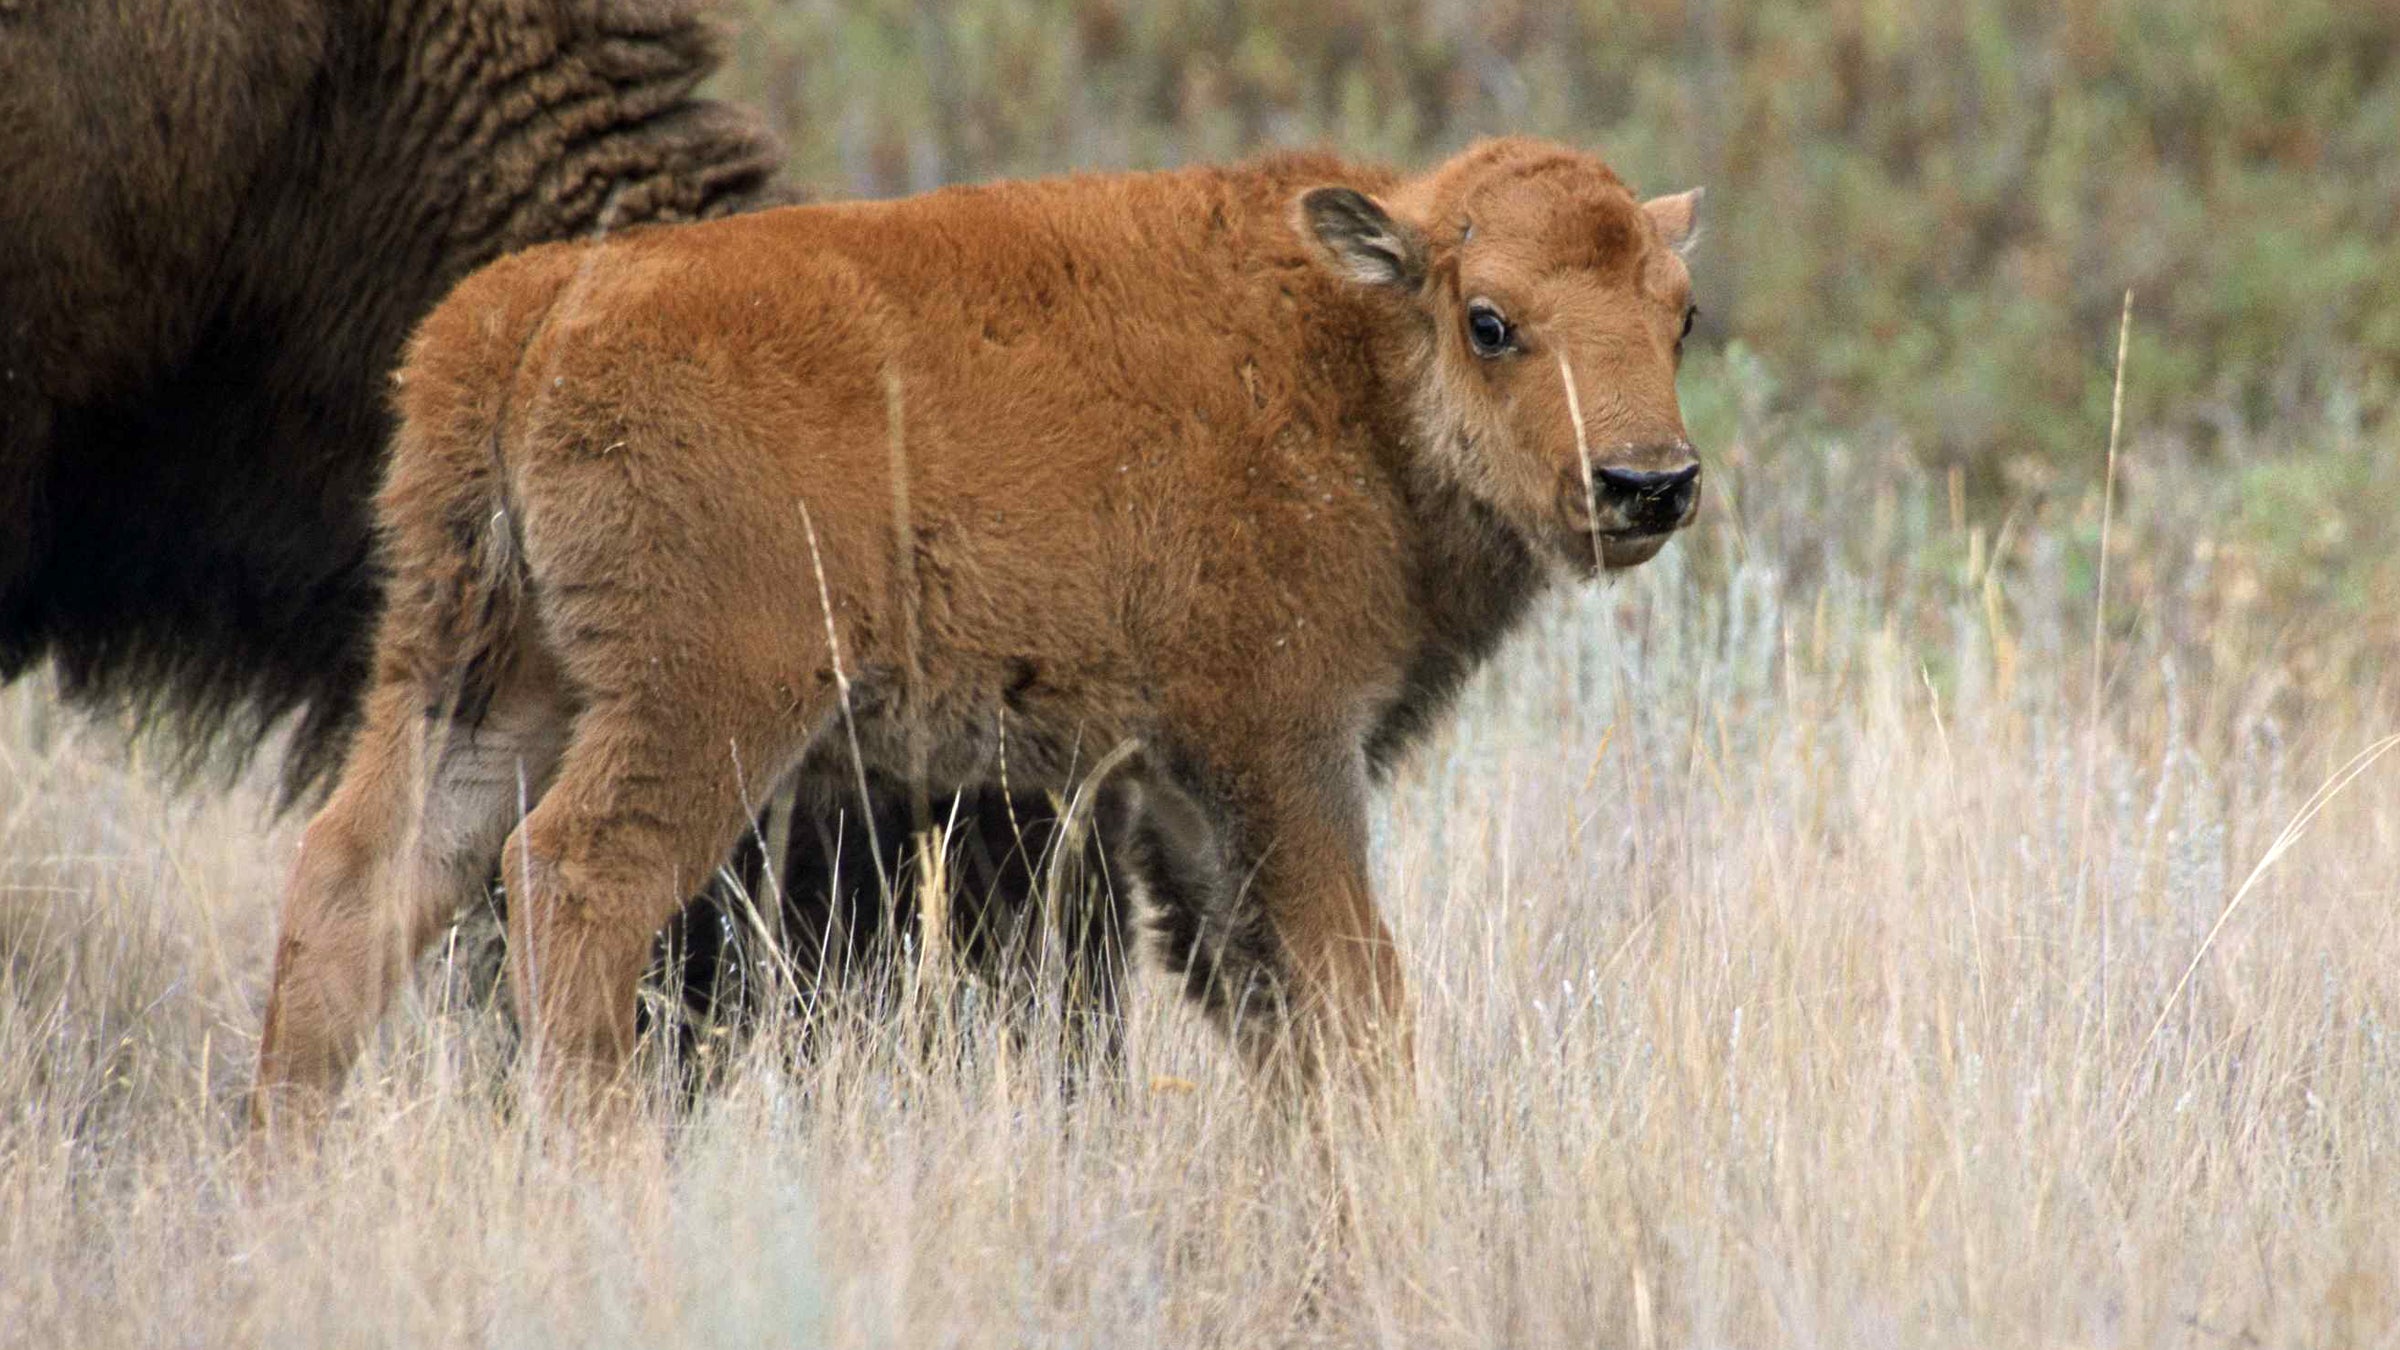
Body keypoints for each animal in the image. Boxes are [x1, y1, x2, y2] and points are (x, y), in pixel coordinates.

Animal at [247, 136, 1704, 1125]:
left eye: (1680, 314)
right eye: (1490, 320)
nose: (1651, 481)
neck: (1351, 358)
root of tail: (533, 315)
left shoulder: (1178, 792)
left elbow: (1261, 996)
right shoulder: (1284, 747)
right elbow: (1354, 992)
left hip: (477, 679)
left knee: (355, 881)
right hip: (705, 704)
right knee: (575, 878)